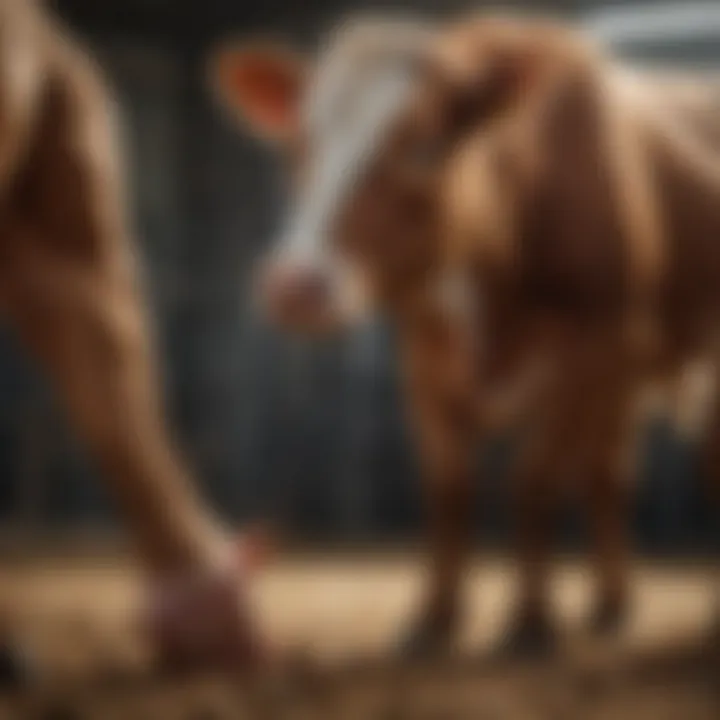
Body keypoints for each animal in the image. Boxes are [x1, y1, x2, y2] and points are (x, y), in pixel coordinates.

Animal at [211, 11, 720, 656]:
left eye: (425, 147)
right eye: (299, 145)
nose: (294, 285)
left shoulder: (599, 348)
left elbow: (532, 479)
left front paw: (530, 623)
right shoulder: (425, 353)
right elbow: (449, 488)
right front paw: (433, 620)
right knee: (611, 475)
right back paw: (608, 606)